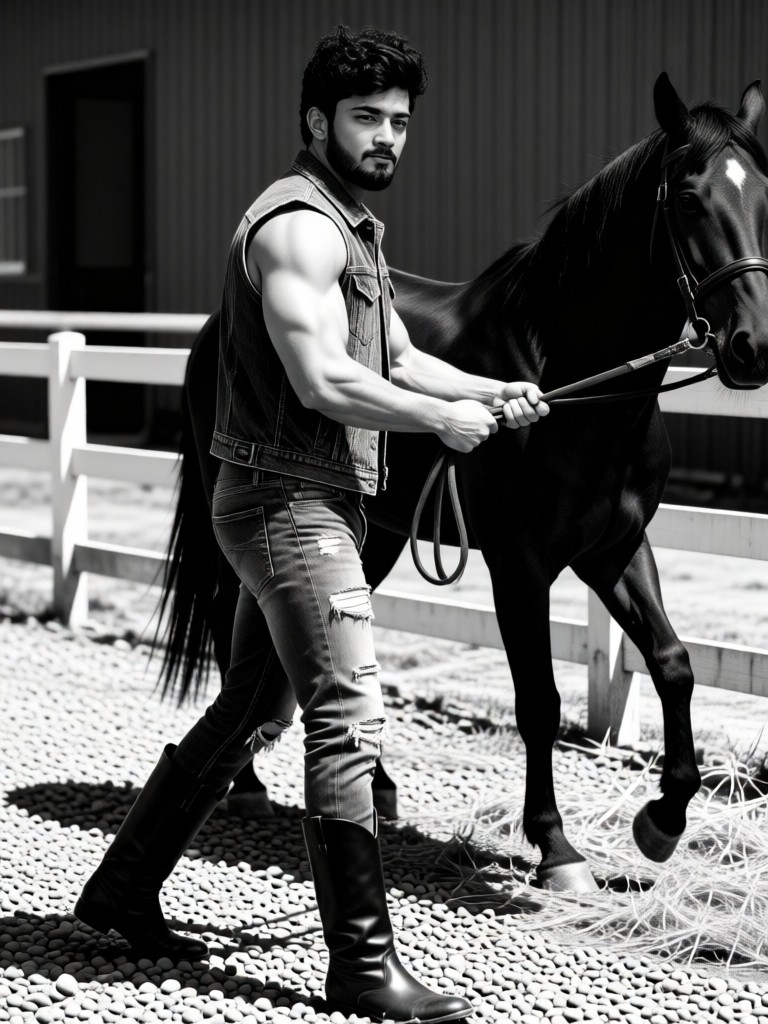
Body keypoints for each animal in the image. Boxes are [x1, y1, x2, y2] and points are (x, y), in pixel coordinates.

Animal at [154, 74, 768, 891]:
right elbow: (539, 699)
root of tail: (214, 326)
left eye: (764, 193)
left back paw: (378, 791)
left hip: (374, 537)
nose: (753, 347)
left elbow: (673, 666)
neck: (572, 384)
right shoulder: (520, 564)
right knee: (235, 635)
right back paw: (248, 786)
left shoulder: (616, 549)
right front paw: (556, 848)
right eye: (692, 199)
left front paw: (661, 823)